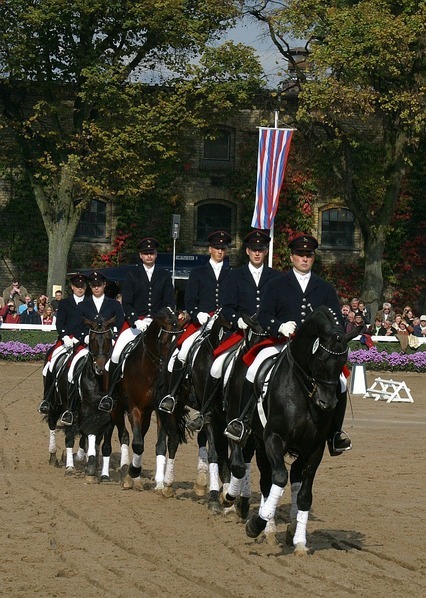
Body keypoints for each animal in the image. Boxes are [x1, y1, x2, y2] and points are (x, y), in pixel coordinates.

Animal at [236, 310, 350, 556]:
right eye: (319, 359)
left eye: (343, 362)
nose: (327, 403)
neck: (304, 392)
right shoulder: (273, 439)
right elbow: (279, 478)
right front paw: (256, 525)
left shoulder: (315, 448)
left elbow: (305, 496)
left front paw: (300, 541)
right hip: (259, 441)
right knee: (267, 481)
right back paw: (267, 530)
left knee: (293, 478)